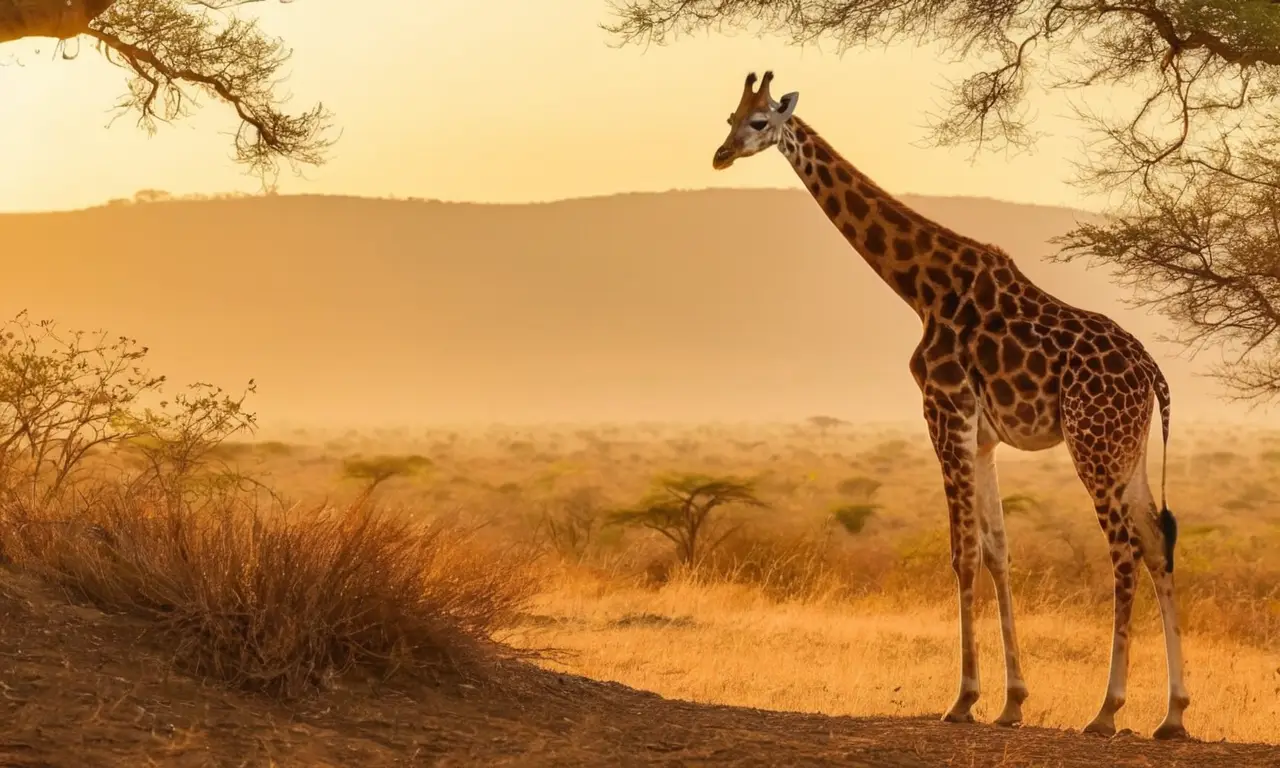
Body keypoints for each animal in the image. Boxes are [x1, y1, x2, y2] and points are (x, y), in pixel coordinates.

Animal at [710, 71, 1189, 740]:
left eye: (759, 122)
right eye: (729, 116)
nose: (721, 154)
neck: (922, 288)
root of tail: (1152, 375)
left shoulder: (944, 409)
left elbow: (962, 554)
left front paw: (963, 698)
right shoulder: (982, 435)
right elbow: (997, 552)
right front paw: (1013, 702)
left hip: (1094, 444)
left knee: (1123, 552)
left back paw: (1106, 710)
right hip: (1129, 451)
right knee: (1157, 543)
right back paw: (1172, 714)